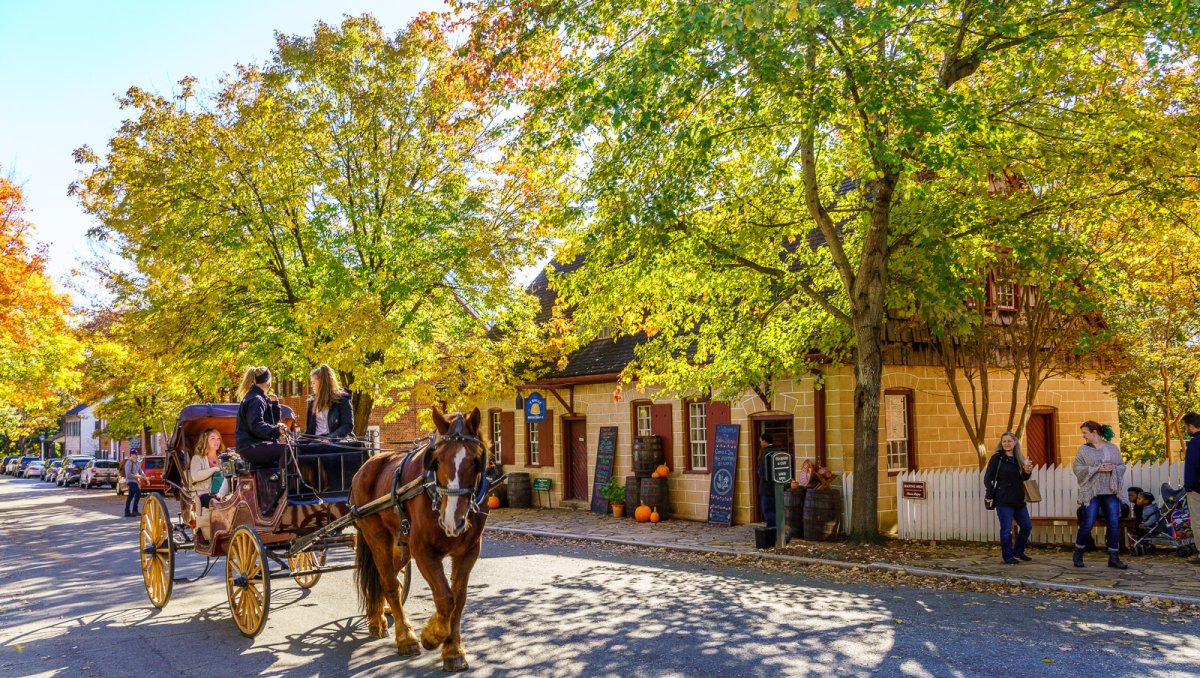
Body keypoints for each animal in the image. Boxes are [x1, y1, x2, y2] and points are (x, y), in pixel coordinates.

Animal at [352, 408, 489, 672]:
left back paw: (377, 617)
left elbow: (458, 599)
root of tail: (367, 464)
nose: (452, 521)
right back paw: (405, 637)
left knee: (386, 577)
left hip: (402, 544)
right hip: (377, 536)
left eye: (475, 461)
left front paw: (453, 650)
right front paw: (431, 636)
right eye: (437, 460)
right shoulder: (424, 550)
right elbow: (445, 598)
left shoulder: (469, 551)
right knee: (389, 583)